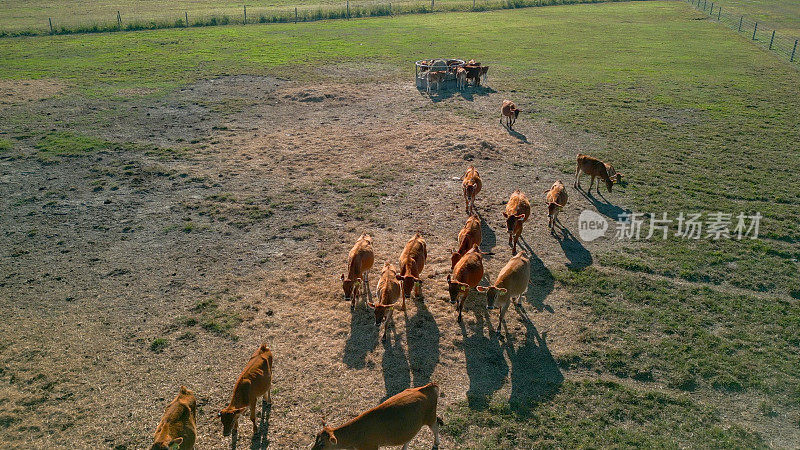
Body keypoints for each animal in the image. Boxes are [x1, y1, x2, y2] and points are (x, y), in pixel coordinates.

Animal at [310, 384, 444, 450]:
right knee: (410, 437)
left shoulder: (371, 447)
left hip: (430, 416)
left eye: (322, 444)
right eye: (316, 440)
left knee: (436, 427)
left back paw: (436, 443)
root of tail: (427, 387)